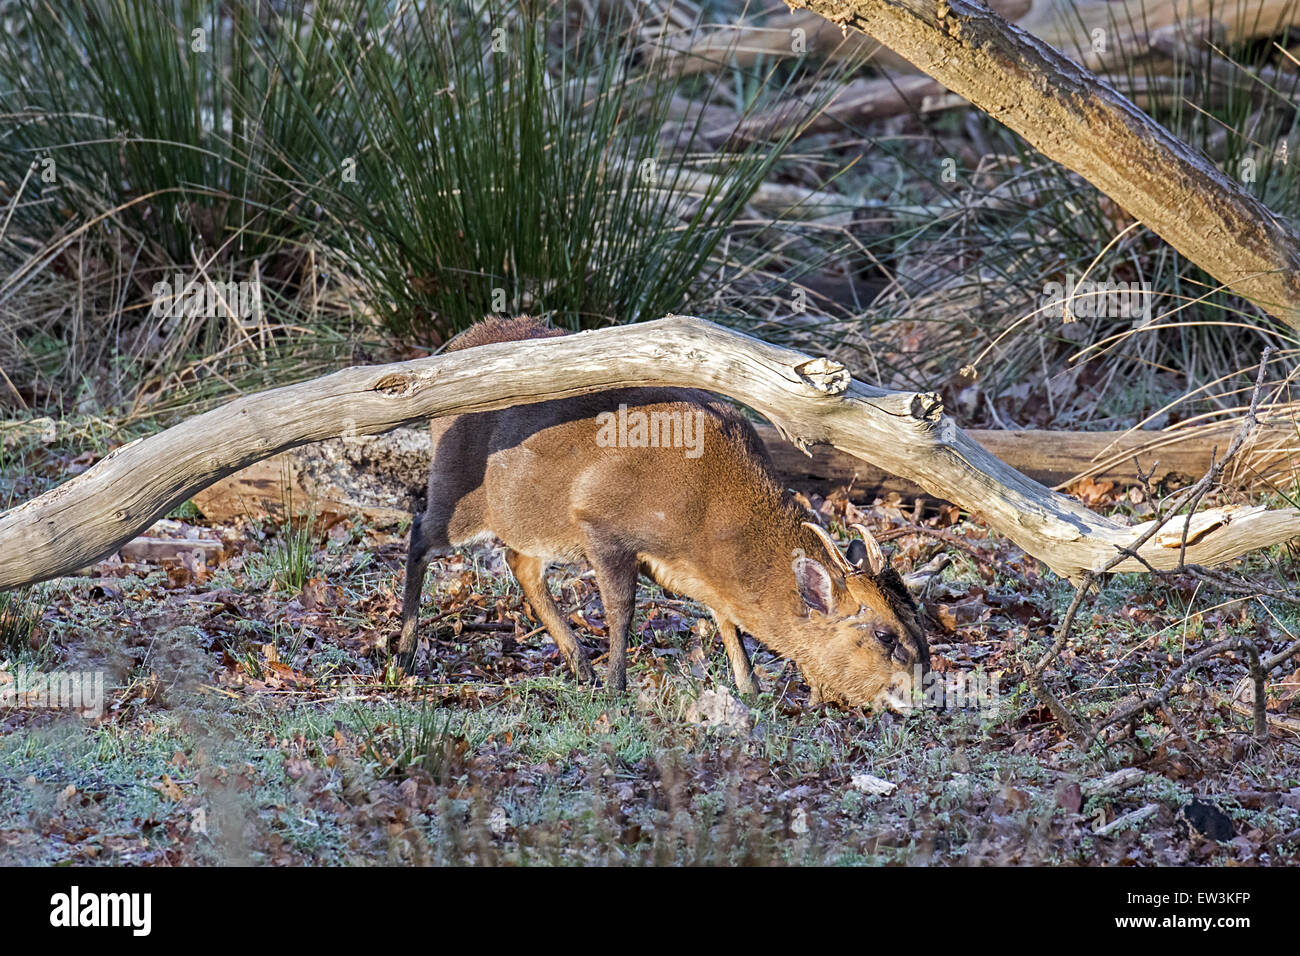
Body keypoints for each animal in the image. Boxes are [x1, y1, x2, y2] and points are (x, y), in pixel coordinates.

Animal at [395, 316, 929, 709]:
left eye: (920, 624)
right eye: (885, 635)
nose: (923, 692)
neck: (704, 515)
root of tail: (462, 340)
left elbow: (727, 618)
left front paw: (750, 687)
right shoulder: (601, 522)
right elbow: (622, 609)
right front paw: (616, 687)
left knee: (519, 563)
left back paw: (578, 666)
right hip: (458, 486)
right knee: (420, 532)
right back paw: (403, 654)